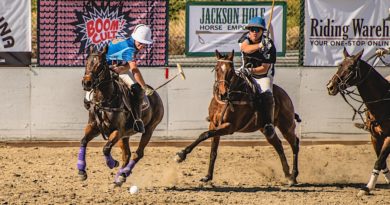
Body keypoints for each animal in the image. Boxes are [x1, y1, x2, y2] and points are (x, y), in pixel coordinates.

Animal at [78, 46, 164, 187]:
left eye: (101, 65)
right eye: (87, 62)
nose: (87, 83)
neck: (105, 100)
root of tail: (155, 93)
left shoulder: (117, 131)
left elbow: (106, 148)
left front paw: (112, 163)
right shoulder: (94, 127)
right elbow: (83, 141)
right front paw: (81, 172)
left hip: (149, 129)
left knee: (137, 154)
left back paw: (123, 175)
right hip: (125, 135)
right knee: (127, 155)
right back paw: (119, 179)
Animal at [175, 50, 300, 186]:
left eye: (231, 71)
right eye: (217, 69)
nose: (223, 93)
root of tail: (285, 95)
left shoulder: (230, 127)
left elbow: (205, 134)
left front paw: (181, 154)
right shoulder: (214, 124)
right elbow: (212, 149)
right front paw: (207, 176)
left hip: (286, 126)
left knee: (295, 144)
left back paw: (293, 176)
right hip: (265, 129)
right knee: (278, 145)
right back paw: (287, 174)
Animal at [328, 47, 388, 195]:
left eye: (350, 67)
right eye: (340, 65)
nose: (330, 86)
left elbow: (379, 161)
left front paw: (367, 187)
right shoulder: (375, 136)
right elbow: (381, 161)